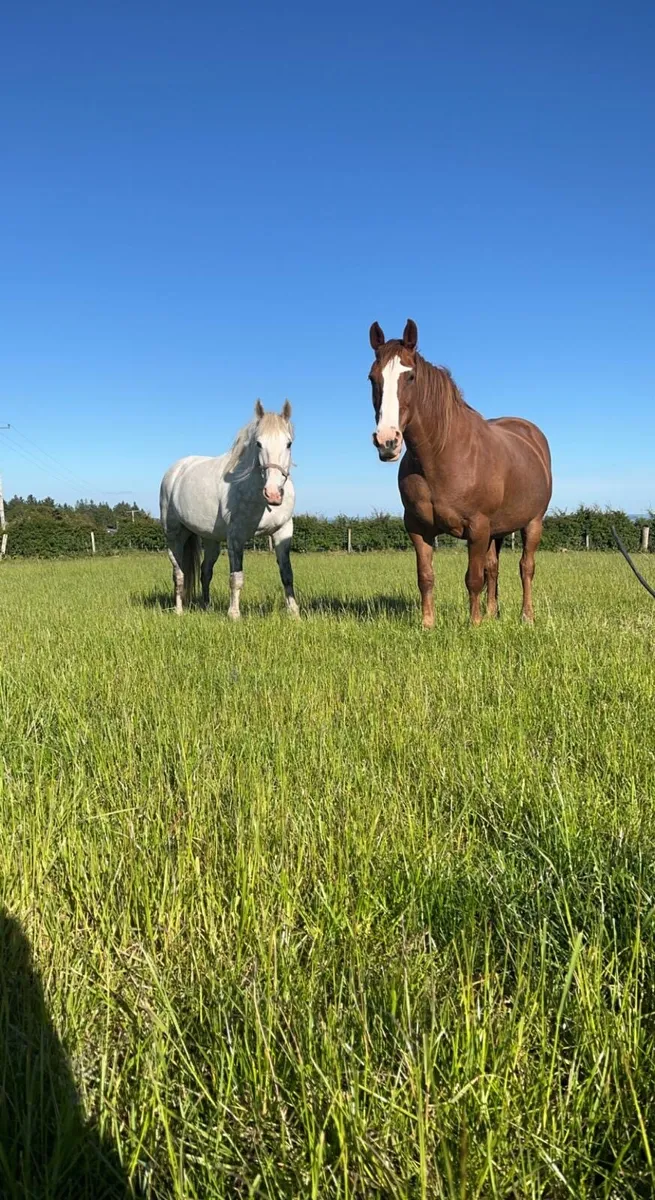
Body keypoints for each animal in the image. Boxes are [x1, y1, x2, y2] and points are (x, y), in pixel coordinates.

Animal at [159, 400, 299, 619]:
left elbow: (287, 574)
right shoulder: (235, 538)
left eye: (289, 443)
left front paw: (295, 614)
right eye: (258, 443)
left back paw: (206, 606)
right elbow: (236, 578)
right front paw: (234, 615)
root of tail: (175, 471)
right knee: (179, 573)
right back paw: (179, 611)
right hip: (175, 535)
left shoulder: (283, 531)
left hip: (210, 539)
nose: (273, 494)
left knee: (205, 571)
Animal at [368, 319, 552, 627]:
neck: (441, 456)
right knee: (493, 567)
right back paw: (492, 613)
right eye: (372, 378)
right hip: (496, 530)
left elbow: (473, 578)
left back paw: (526, 616)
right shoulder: (418, 528)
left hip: (532, 523)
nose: (387, 441)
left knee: (526, 567)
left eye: (411, 376)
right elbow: (426, 577)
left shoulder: (477, 526)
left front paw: (474, 624)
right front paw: (427, 624)